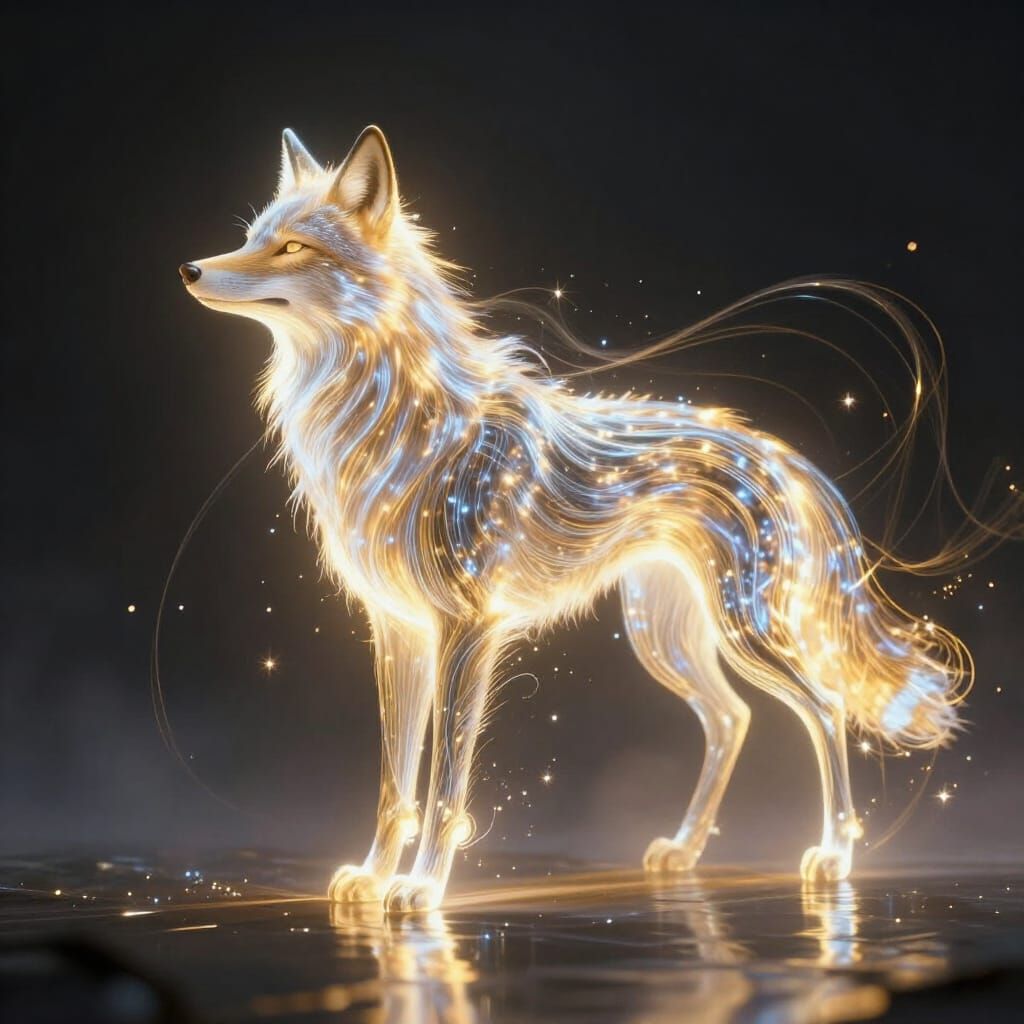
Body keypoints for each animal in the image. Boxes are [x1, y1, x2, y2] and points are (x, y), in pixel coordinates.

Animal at [180, 126, 968, 912]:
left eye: (292, 247)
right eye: (252, 237)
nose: (189, 269)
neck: (395, 425)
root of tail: (775, 450)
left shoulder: (467, 630)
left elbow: (443, 785)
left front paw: (422, 887)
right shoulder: (397, 629)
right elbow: (392, 785)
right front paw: (374, 878)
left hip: (746, 636)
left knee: (827, 709)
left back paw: (834, 857)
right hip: (667, 641)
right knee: (732, 717)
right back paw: (683, 851)